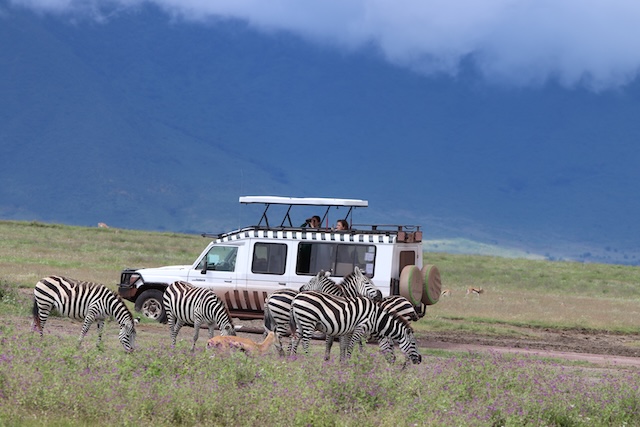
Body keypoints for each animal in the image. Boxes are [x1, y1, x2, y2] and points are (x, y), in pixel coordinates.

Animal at [288, 292, 420, 366]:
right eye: (413, 344)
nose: (420, 360)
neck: (376, 318)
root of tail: (296, 297)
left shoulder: (348, 329)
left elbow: (344, 345)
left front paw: (343, 362)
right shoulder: (360, 327)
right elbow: (352, 346)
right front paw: (348, 362)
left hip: (300, 322)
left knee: (295, 339)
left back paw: (293, 359)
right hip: (308, 321)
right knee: (305, 342)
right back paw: (309, 359)